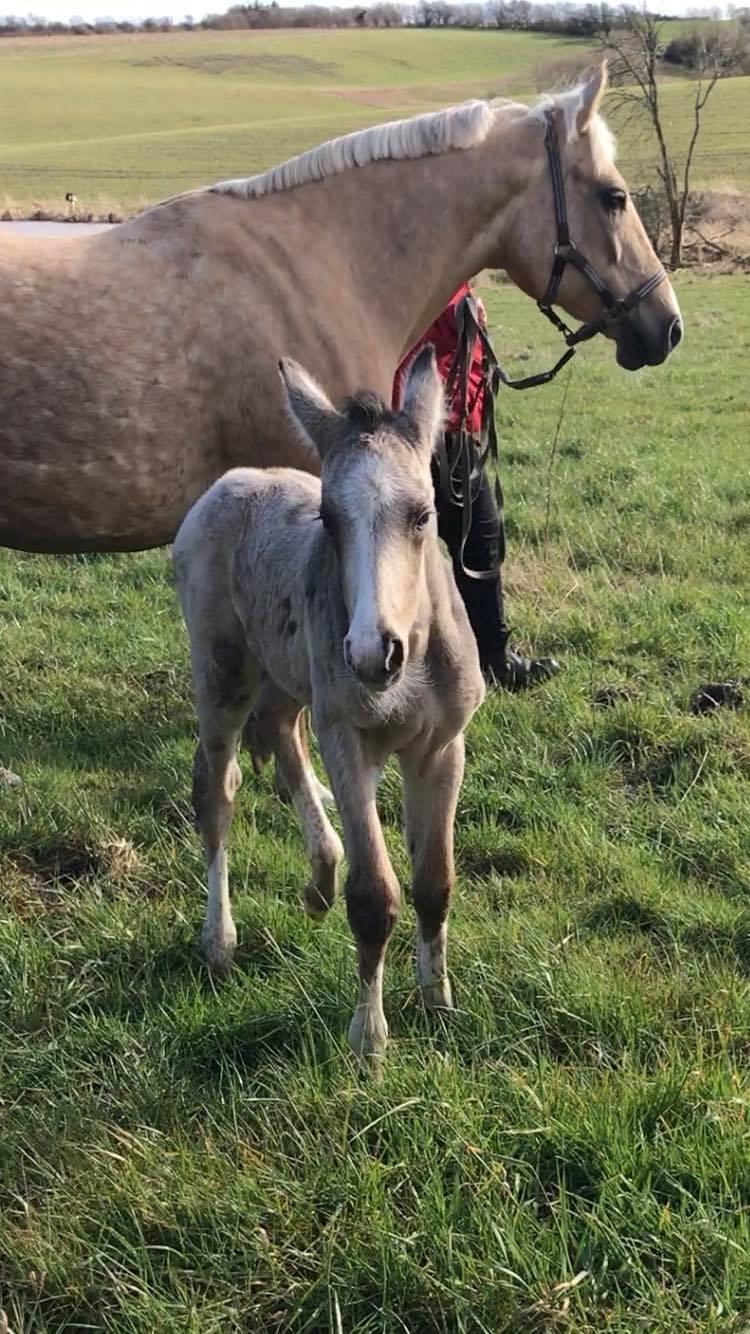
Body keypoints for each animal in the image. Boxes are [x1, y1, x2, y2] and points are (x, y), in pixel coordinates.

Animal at [172, 349, 480, 1056]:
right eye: (330, 521)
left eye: (424, 515)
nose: (371, 654)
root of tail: (227, 483)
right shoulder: (348, 741)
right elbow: (374, 897)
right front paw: (369, 1037)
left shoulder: (441, 748)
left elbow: (435, 882)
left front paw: (437, 1001)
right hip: (223, 672)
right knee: (218, 790)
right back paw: (220, 937)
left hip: (289, 674)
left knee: (282, 734)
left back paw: (321, 872)